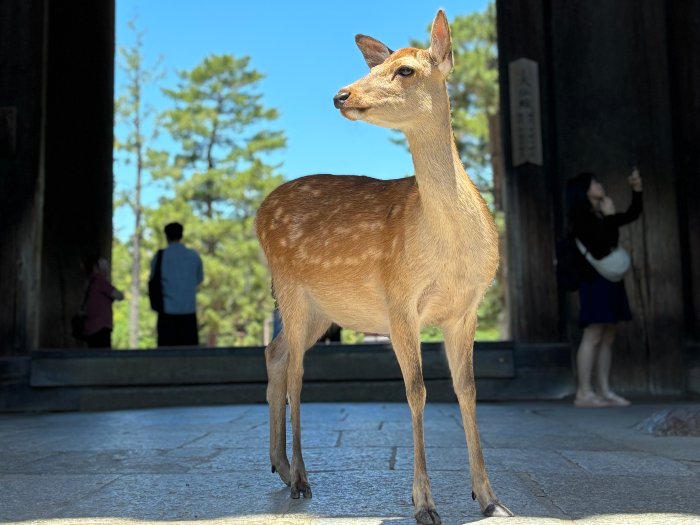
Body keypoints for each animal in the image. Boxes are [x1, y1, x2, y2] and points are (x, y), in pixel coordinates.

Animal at [256, 9, 516, 524]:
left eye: (405, 70)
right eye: (376, 66)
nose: (341, 94)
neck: (451, 251)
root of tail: (257, 213)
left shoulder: (466, 309)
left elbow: (468, 389)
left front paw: (490, 498)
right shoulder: (399, 300)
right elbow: (416, 390)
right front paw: (424, 504)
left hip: (320, 311)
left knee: (275, 355)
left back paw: (281, 466)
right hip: (290, 289)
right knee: (295, 374)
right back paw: (300, 478)